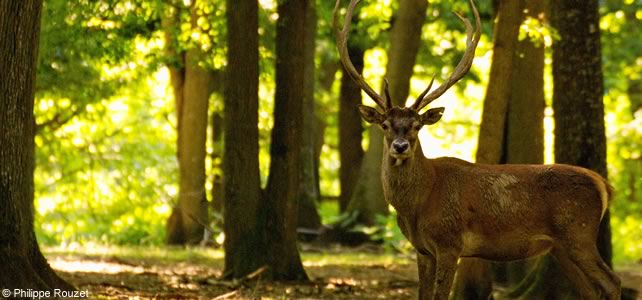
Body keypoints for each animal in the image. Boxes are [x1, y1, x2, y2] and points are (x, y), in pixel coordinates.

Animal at [332, 0, 616, 298]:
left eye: (417, 125)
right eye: (385, 124)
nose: (400, 147)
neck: (418, 204)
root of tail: (604, 185)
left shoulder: (449, 242)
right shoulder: (422, 250)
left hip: (578, 233)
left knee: (612, 282)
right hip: (561, 246)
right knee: (591, 290)